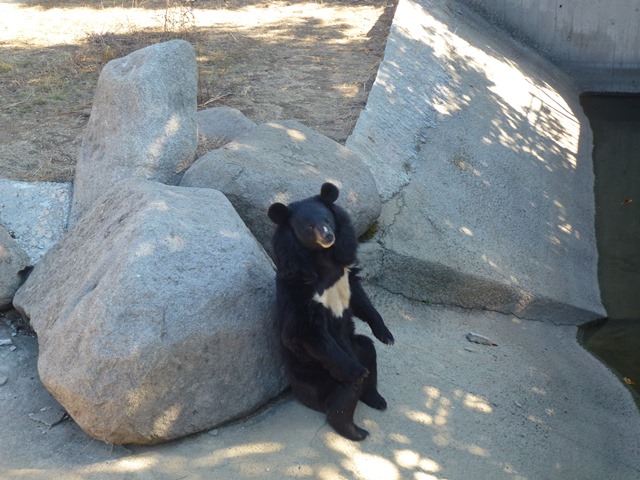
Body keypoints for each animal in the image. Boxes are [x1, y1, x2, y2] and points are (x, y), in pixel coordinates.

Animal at [267, 182, 394, 441]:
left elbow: (360, 299)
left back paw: (377, 399)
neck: (323, 258)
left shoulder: (346, 272)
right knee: (344, 396)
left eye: (328, 219)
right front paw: (358, 372)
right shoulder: (298, 290)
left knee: (369, 351)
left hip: (357, 346)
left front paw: (387, 335)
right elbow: (303, 331)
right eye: (309, 227)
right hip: (322, 372)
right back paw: (355, 429)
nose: (328, 236)